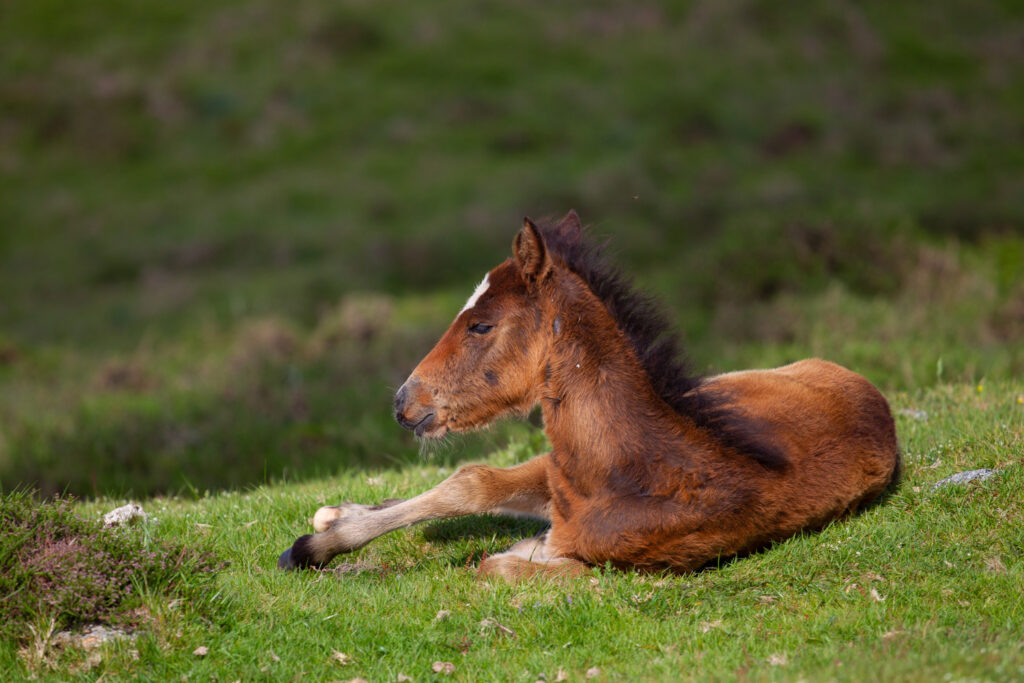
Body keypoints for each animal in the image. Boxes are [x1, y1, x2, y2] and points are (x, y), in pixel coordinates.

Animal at [278, 210, 897, 581]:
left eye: (480, 325)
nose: (404, 401)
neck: (648, 466)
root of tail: (867, 386)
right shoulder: (557, 482)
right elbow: (472, 485)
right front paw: (322, 541)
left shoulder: (615, 560)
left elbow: (495, 563)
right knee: (475, 480)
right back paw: (337, 515)